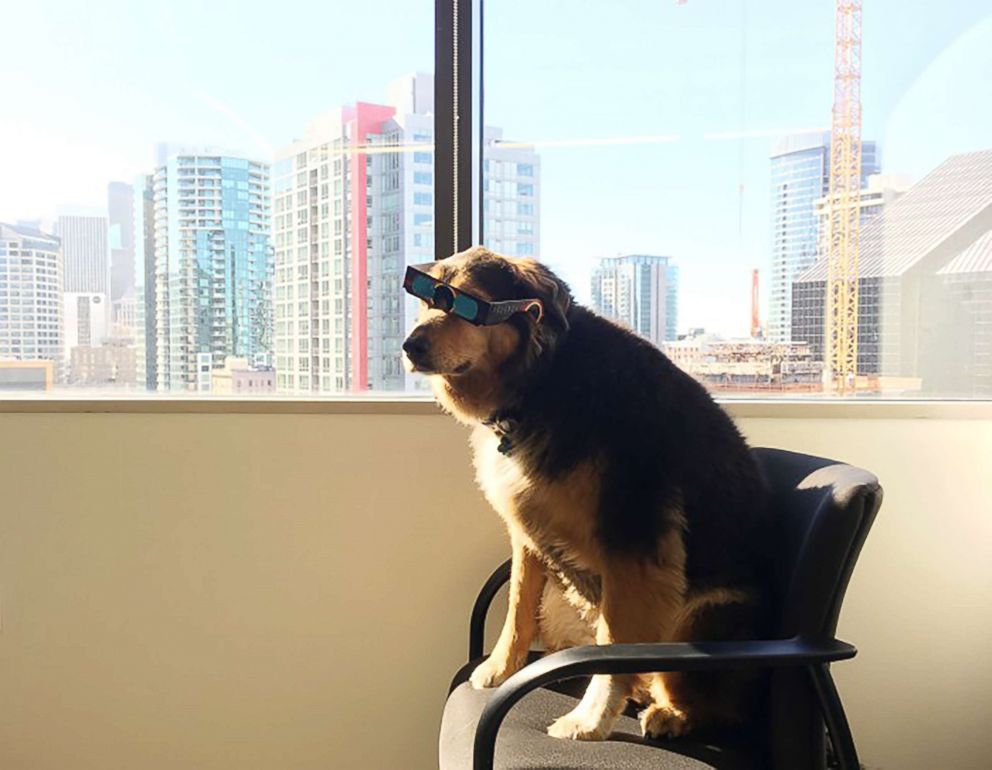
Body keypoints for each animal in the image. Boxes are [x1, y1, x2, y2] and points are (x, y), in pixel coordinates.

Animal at [400, 246, 772, 736]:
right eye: (426, 299)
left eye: (466, 303)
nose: (410, 346)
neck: (543, 380)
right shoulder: (527, 530)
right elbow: (519, 603)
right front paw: (500, 668)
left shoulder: (633, 542)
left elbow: (615, 645)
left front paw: (589, 720)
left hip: (701, 612)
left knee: (715, 704)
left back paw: (669, 713)